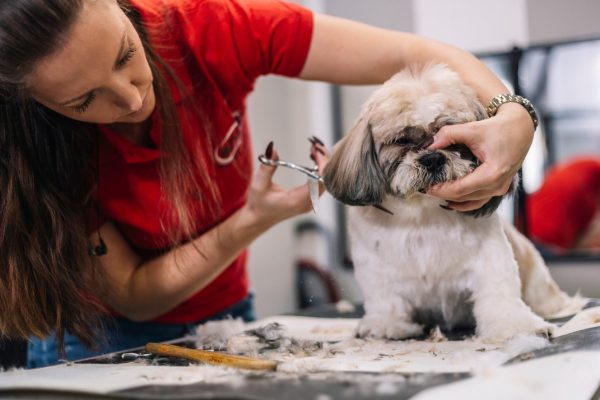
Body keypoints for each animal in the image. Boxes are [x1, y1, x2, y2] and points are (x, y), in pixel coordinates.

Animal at [326, 64, 584, 342]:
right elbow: (386, 300)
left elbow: (499, 292)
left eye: (454, 139)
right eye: (402, 140)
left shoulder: (490, 257)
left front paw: (516, 325)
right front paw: (387, 325)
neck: (422, 215)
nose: (432, 158)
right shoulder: (375, 269)